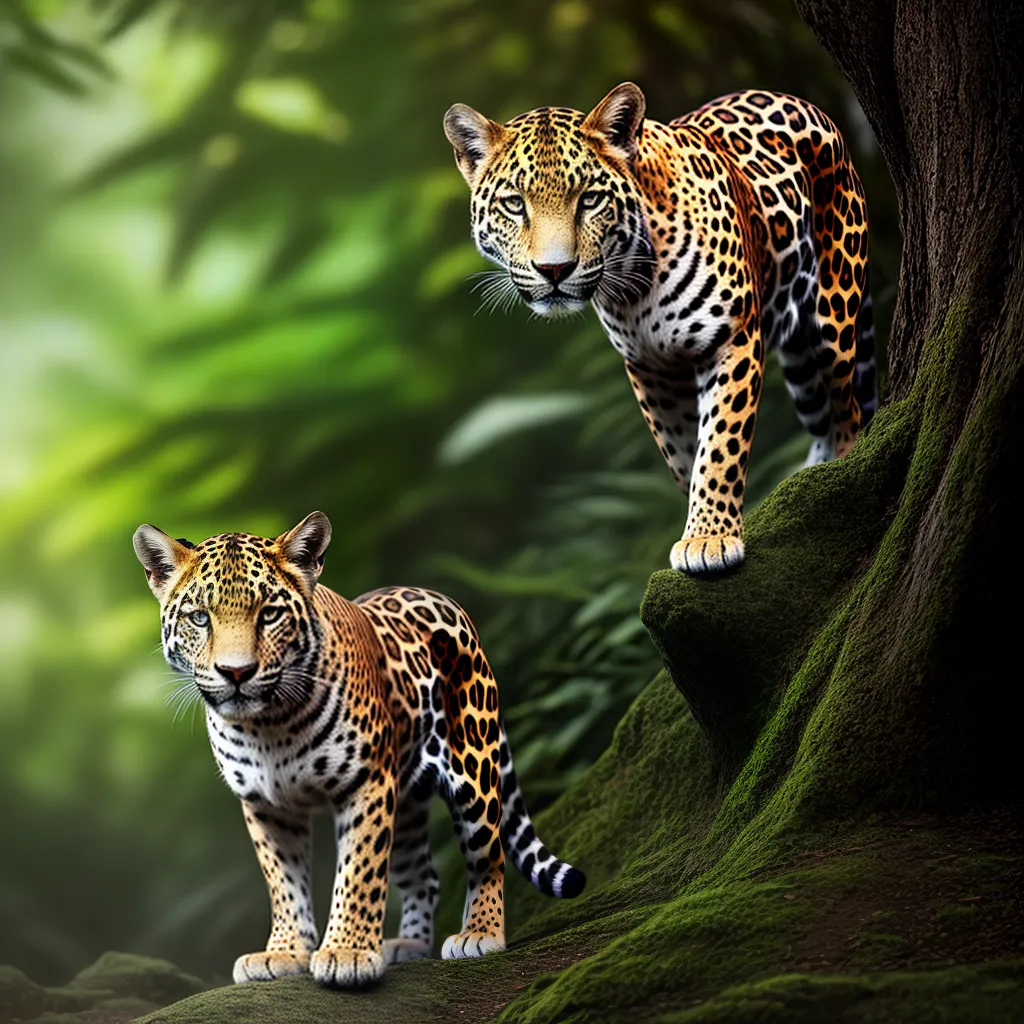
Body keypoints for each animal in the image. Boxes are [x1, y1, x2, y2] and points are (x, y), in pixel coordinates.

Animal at [133, 511, 585, 988]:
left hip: (473, 763)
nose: (236, 672)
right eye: (200, 618)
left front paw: (346, 952)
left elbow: (359, 869)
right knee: (424, 875)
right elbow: (283, 882)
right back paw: (407, 946)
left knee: (488, 854)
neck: (268, 726)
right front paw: (283, 953)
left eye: (270, 614)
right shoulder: (266, 805)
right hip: (406, 800)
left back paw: (479, 934)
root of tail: (442, 598)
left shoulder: (365, 783)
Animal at [444, 83, 877, 574]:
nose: (554, 270)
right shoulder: (650, 367)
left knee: (847, 409)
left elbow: (721, 443)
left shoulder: (732, 341)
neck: (635, 286)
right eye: (515, 204)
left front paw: (709, 537)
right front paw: (703, 524)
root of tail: (799, 100)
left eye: (589, 200)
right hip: (800, 356)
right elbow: (685, 453)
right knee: (821, 415)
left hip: (834, 316)